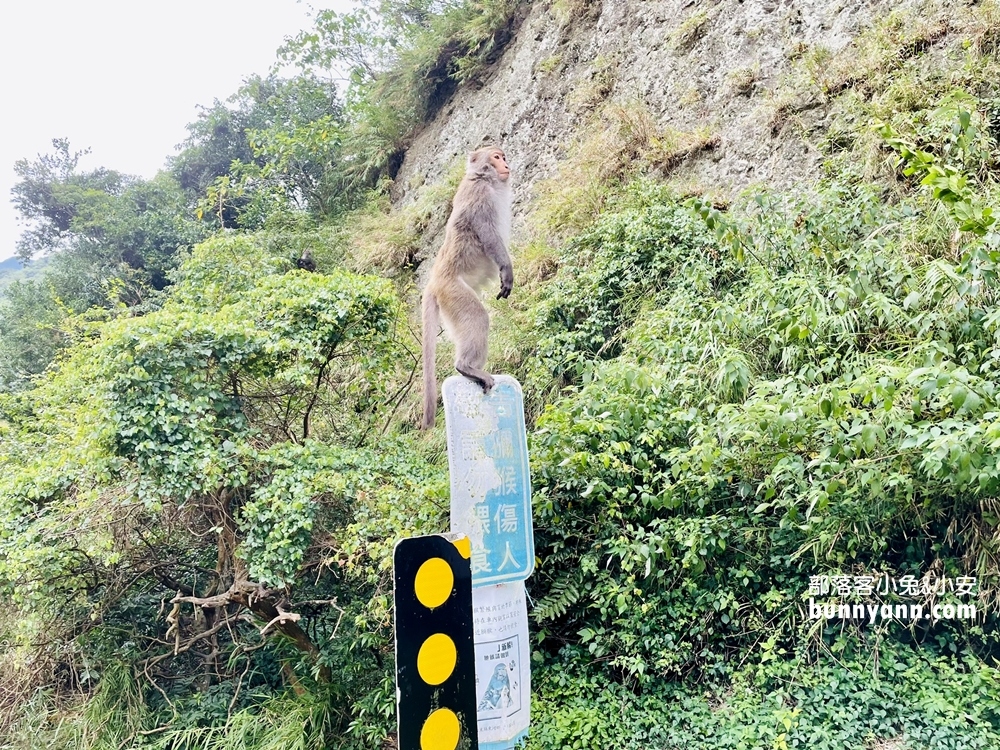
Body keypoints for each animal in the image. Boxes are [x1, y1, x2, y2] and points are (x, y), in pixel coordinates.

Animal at [422, 148, 516, 432]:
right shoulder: (480, 198)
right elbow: (489, 235)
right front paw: (506, 270)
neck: (484, 178)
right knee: (477, 318)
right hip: (453, 292)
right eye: (496, 157)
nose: (506, 163)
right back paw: (466, 367)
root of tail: (433, 281)